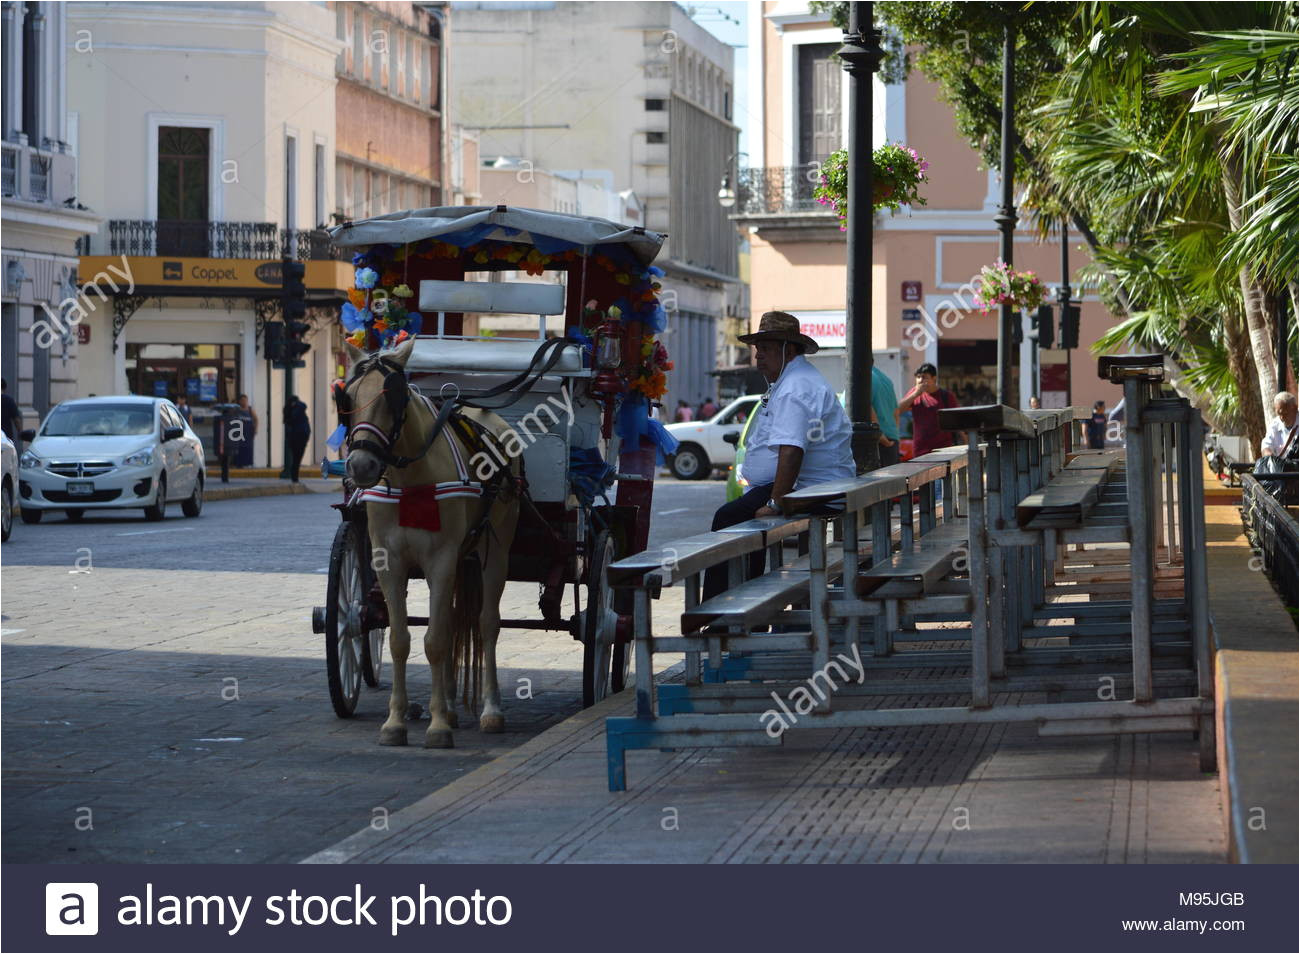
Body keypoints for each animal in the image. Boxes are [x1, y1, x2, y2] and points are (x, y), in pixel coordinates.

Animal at [343, 340, 520, 748]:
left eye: (393, 396)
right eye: (348, 396)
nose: (360, 465)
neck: (411, 479)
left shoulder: (441, 559)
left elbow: (436, 640)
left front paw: (437, 727)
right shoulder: (388, 562)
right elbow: (401, 639)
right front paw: (396, 722)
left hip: (495, 553)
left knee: (487, 623)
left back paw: (491, 710)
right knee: (453, 621)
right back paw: (453, 707)